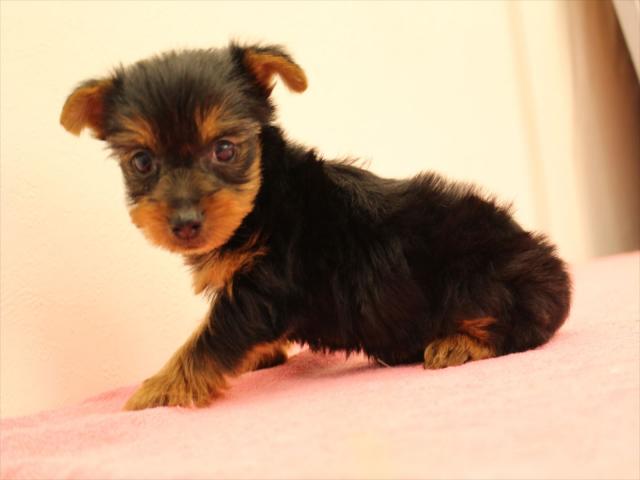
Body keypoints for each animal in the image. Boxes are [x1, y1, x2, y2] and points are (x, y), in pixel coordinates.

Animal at [60, 43, 571, 410]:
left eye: (224, 150)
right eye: (142, 162)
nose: (184, 222)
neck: (262, 200)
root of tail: (552, 267)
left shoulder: (263, 289)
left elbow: (207, 339)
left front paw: (158, 389)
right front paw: (260, 357)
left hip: (476, 273)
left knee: (518, 326)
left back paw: (456, 344)